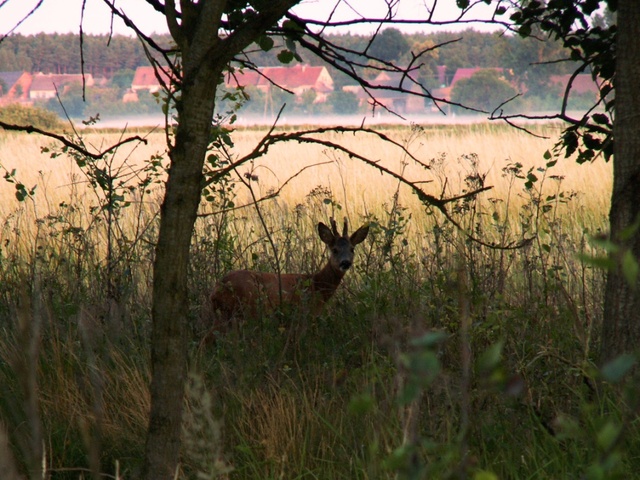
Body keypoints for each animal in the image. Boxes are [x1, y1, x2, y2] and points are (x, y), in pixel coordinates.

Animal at [205, 218, 370, 338]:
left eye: (352, 249)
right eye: (335, 250)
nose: (345, 262)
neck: (317, 286)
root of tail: (217, 289)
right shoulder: (304, 314)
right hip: (244, 311)